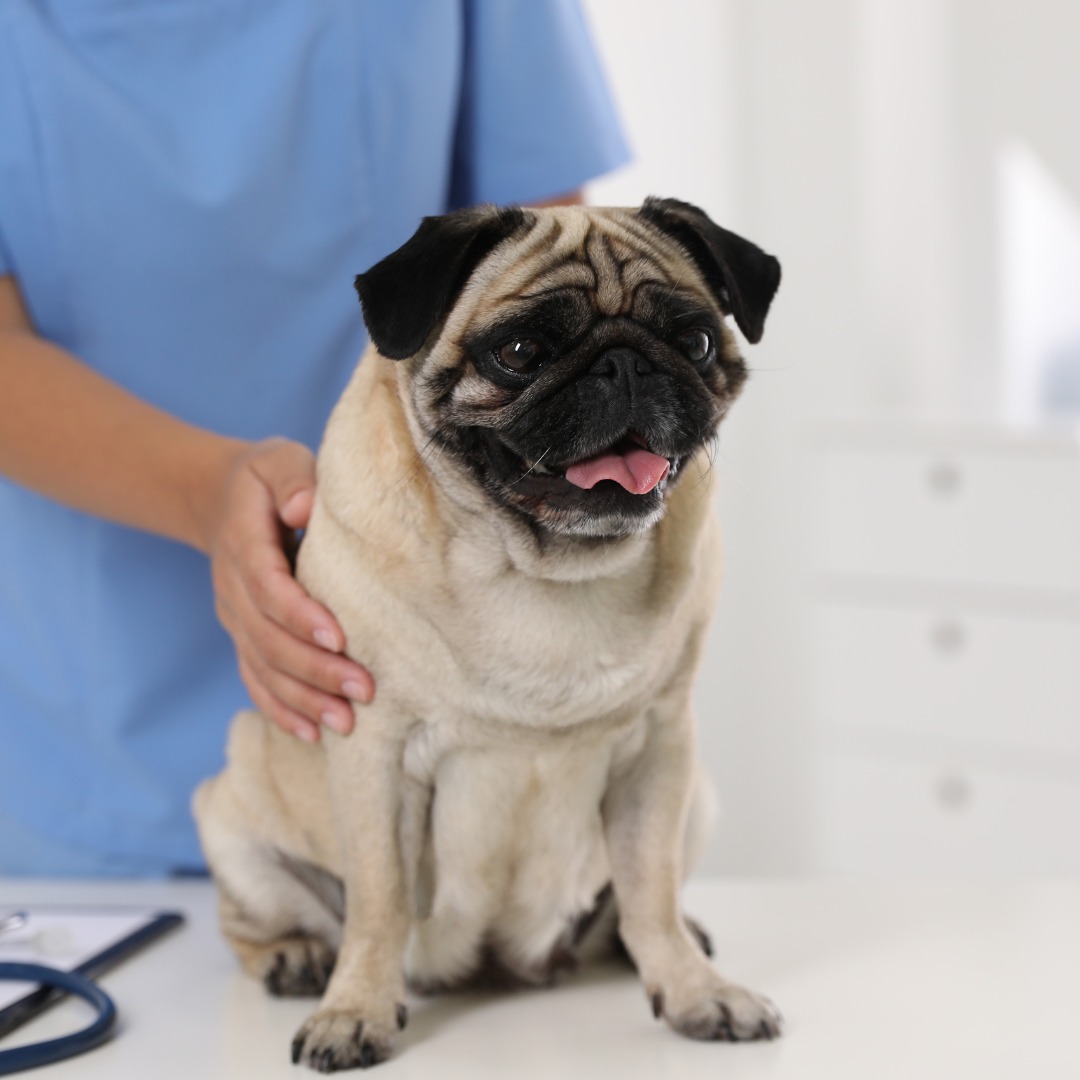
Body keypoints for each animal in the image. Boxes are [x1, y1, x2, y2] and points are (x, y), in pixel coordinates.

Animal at [194, 196, 781, 1071]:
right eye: (519, 352)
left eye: (696, 341)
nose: (626, 365)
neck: (543, 568)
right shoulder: (374, 752)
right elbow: (378, 903)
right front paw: (355, 1010)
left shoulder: (660, 750)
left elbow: (648, 886)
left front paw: (692, 991)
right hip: (230, 815)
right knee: (258, 922)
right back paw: (295, 957)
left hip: (696, 799)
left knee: (639, 905)